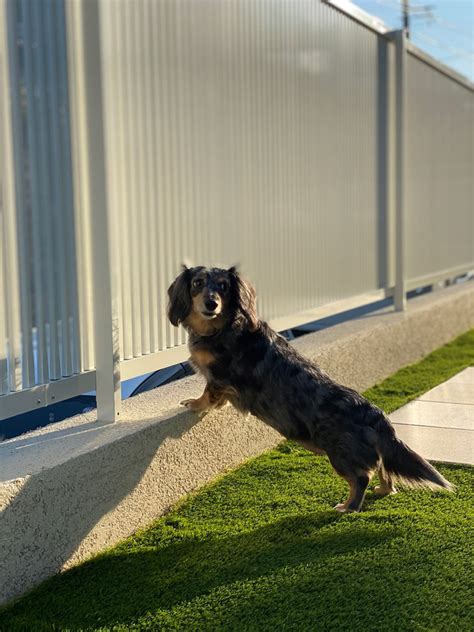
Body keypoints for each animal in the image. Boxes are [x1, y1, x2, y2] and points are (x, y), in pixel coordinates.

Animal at [167, 264, 452, 512]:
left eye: (224, 286)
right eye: (197, 283)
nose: (211, 304)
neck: (221, 327)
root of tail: (376, 414)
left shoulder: (219, 376)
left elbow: (208, 394)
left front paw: (194, 404)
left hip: (340, 454)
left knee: (361, 478)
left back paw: (348, 507)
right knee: (384, 469)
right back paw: (383, 491)